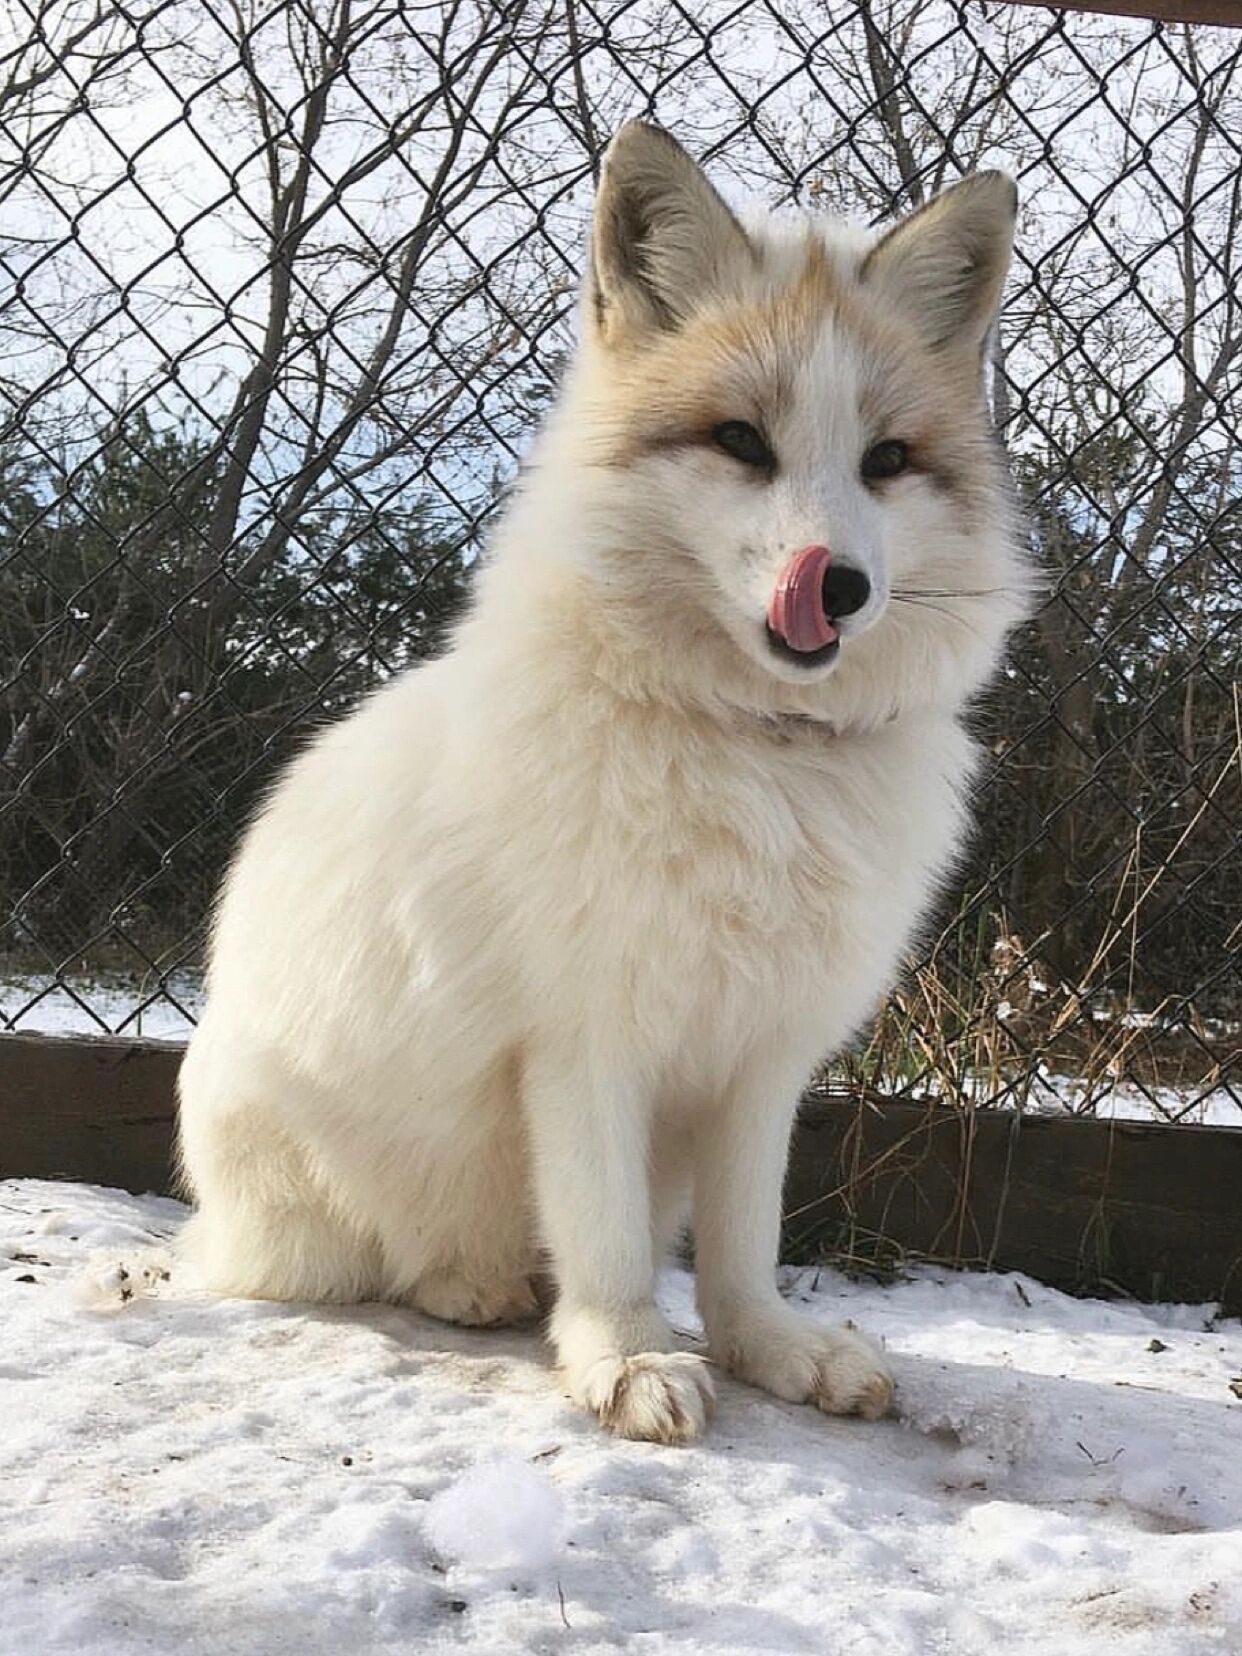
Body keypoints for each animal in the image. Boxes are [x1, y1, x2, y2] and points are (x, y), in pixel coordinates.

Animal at [176, 121, 1030, 1444]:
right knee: (389, 1264)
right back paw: (474, 1283)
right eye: (741, 441)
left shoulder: (764, 1057)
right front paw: (625, 1356)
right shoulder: (585, 1039)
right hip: (304, 1188)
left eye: (888, 462)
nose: (835, 586)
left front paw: (770, 1349)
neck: (758, 755)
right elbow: (608, 1233)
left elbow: (744, 1246)